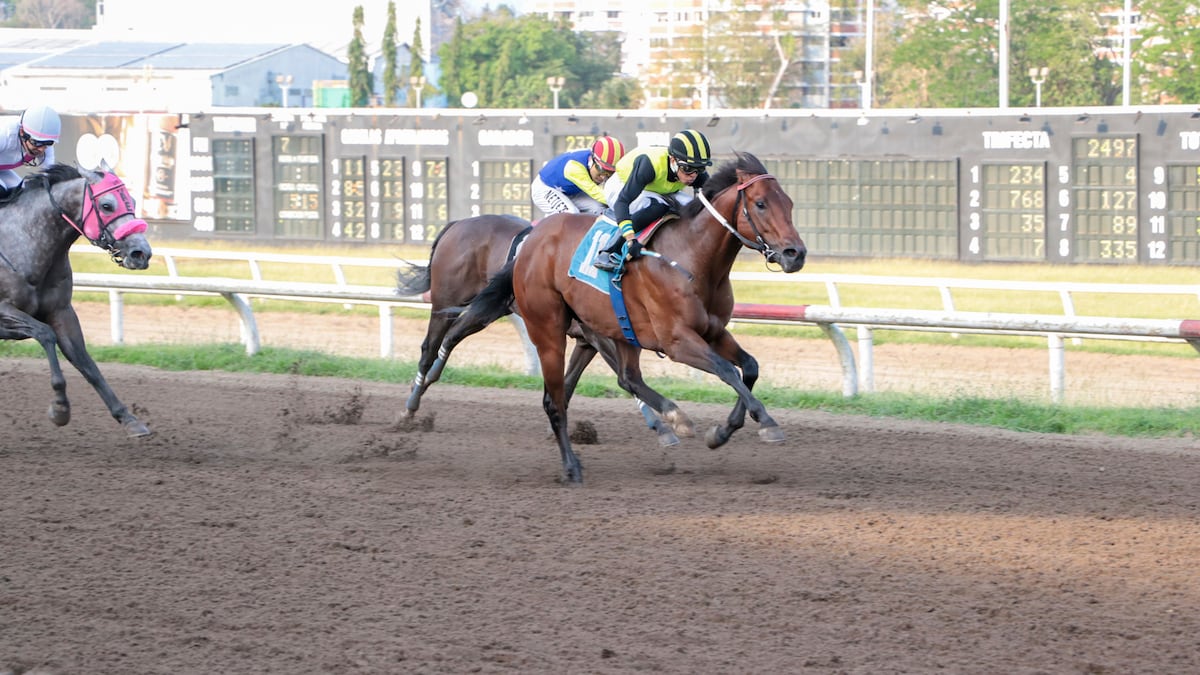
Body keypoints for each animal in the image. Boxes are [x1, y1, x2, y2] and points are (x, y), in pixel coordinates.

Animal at [0, 164, 154, 437]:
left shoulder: (62, 313)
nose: (141, 253)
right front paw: (60, 408)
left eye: (133, 202)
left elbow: (85, 361)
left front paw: (128, 418)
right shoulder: (4, 311)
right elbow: (45, 333)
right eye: (106, 205)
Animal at [398, 212, 691, 444]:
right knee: (429, 349)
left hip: (489, 307)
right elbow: (626, 378)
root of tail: (457, 224)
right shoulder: (598, 336)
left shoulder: (588, 340)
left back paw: (423, 386)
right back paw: (409, 407)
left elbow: (572, 381)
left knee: (451, 338)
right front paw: (664, 426)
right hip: (446, 301)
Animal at [451, 149, 806, 480]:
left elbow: (750, 367)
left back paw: (673, 417)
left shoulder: (715, 333)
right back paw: (572, 467)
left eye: (789, 203)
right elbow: (727, 371)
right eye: (760, 204)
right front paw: (767, 421)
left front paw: (721, 432)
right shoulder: (678, 341)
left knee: (627, 377)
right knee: (555, 399)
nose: (796, 254)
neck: (693, 257)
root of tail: (530, 242)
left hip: (618, 328)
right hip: (548, 330)